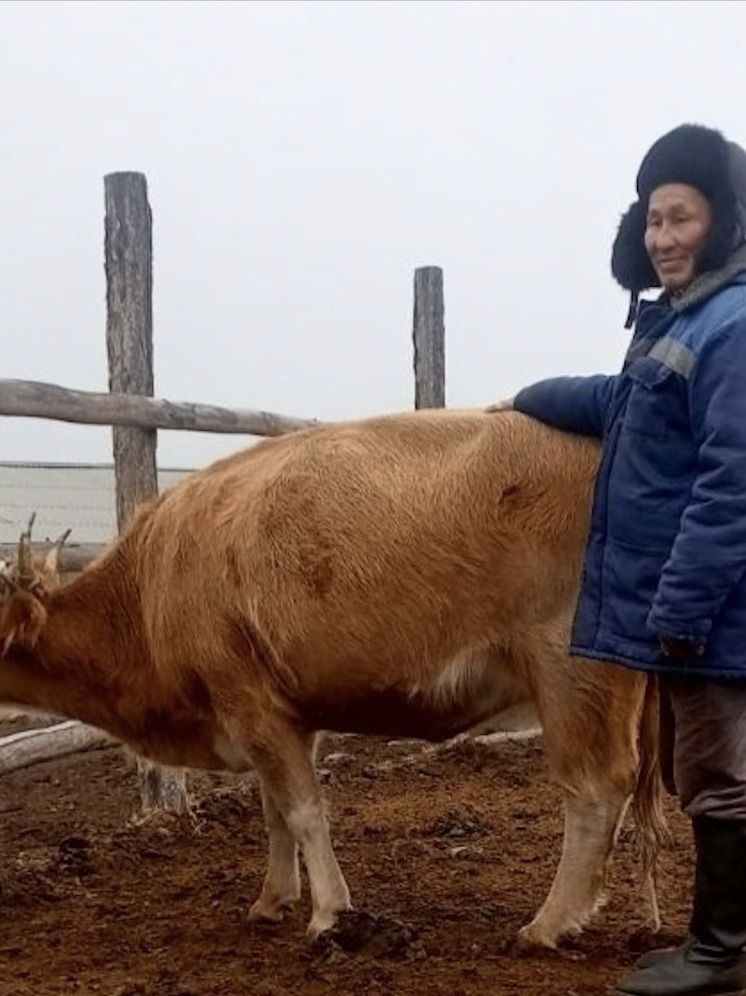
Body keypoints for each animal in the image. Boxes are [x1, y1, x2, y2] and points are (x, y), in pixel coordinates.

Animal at [0, 410, 664, 948]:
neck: (149, 586)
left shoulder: (248, 702)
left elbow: (302, 810)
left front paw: (328, 915)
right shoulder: (284, 714)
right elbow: (274, 811)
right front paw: (272, 901)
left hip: (572, 671)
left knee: (595, 790)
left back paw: (547, 925)